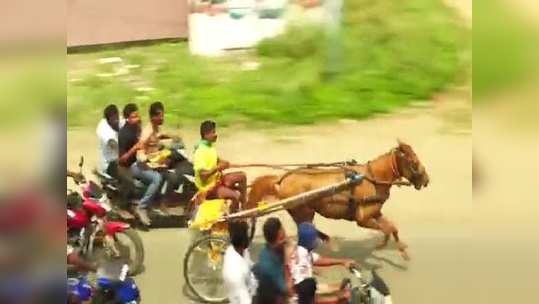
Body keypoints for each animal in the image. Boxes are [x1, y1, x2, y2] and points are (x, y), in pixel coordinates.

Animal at [248, 140, 430, 258]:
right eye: (414, 162)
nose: (426, 180)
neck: (371, 178)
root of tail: (281, 180)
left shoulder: (375, 213)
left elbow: (392, 228)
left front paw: (402, 251)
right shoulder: (362, 219)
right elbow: (386, 229)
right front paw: (382, 245)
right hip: (303, 210)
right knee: (306, 229)